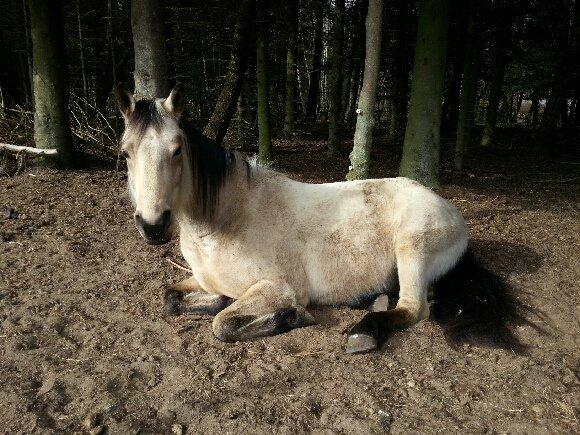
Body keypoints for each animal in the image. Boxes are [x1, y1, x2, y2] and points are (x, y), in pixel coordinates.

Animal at [113, 84, 524, 354]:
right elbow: (171, 297)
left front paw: (289, 318)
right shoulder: (200, 279)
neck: (223, 224)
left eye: (177, 150)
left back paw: (364, 332)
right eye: (126, 152)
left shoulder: (278, 288)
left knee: (413, 308)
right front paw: (210, 300)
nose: (153, 225)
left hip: (413, 249)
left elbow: (222, 324)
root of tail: (450, 211)